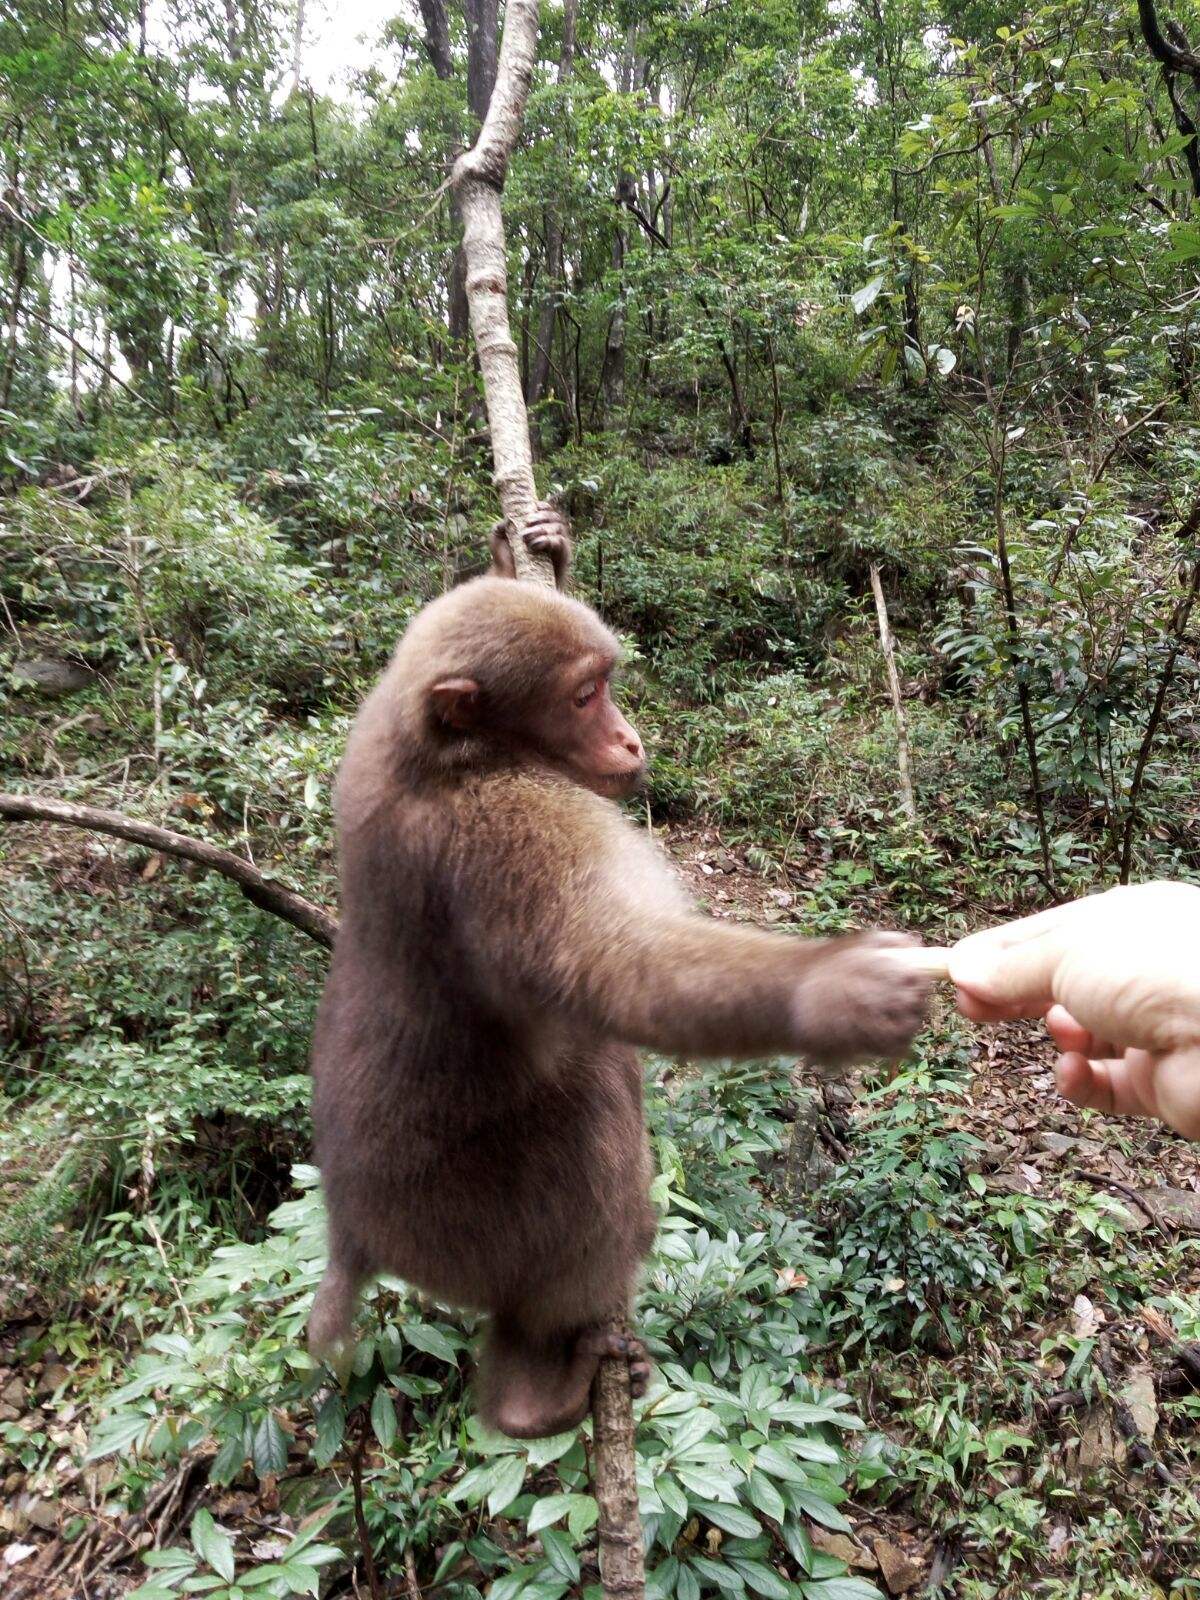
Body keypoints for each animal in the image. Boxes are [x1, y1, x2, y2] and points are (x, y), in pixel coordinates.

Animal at [307, 512, 928, 1440]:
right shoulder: (515, 827)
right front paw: (835, 990)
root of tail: (351, 1228)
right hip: (457, 1224)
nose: (630, 738)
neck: (452, 756)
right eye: (581, 698)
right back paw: (534, 1389)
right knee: (596, 1095)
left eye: (606, 684)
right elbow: (627, 968)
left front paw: (532, 553)